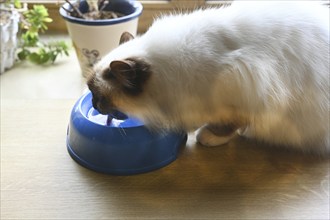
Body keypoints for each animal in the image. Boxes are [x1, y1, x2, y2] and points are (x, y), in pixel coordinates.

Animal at [87, 0, 330, 154]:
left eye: (99, 97)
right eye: (90, 92)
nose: (94, 104)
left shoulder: (244, 86)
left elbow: (231, 123)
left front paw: (210, 136)